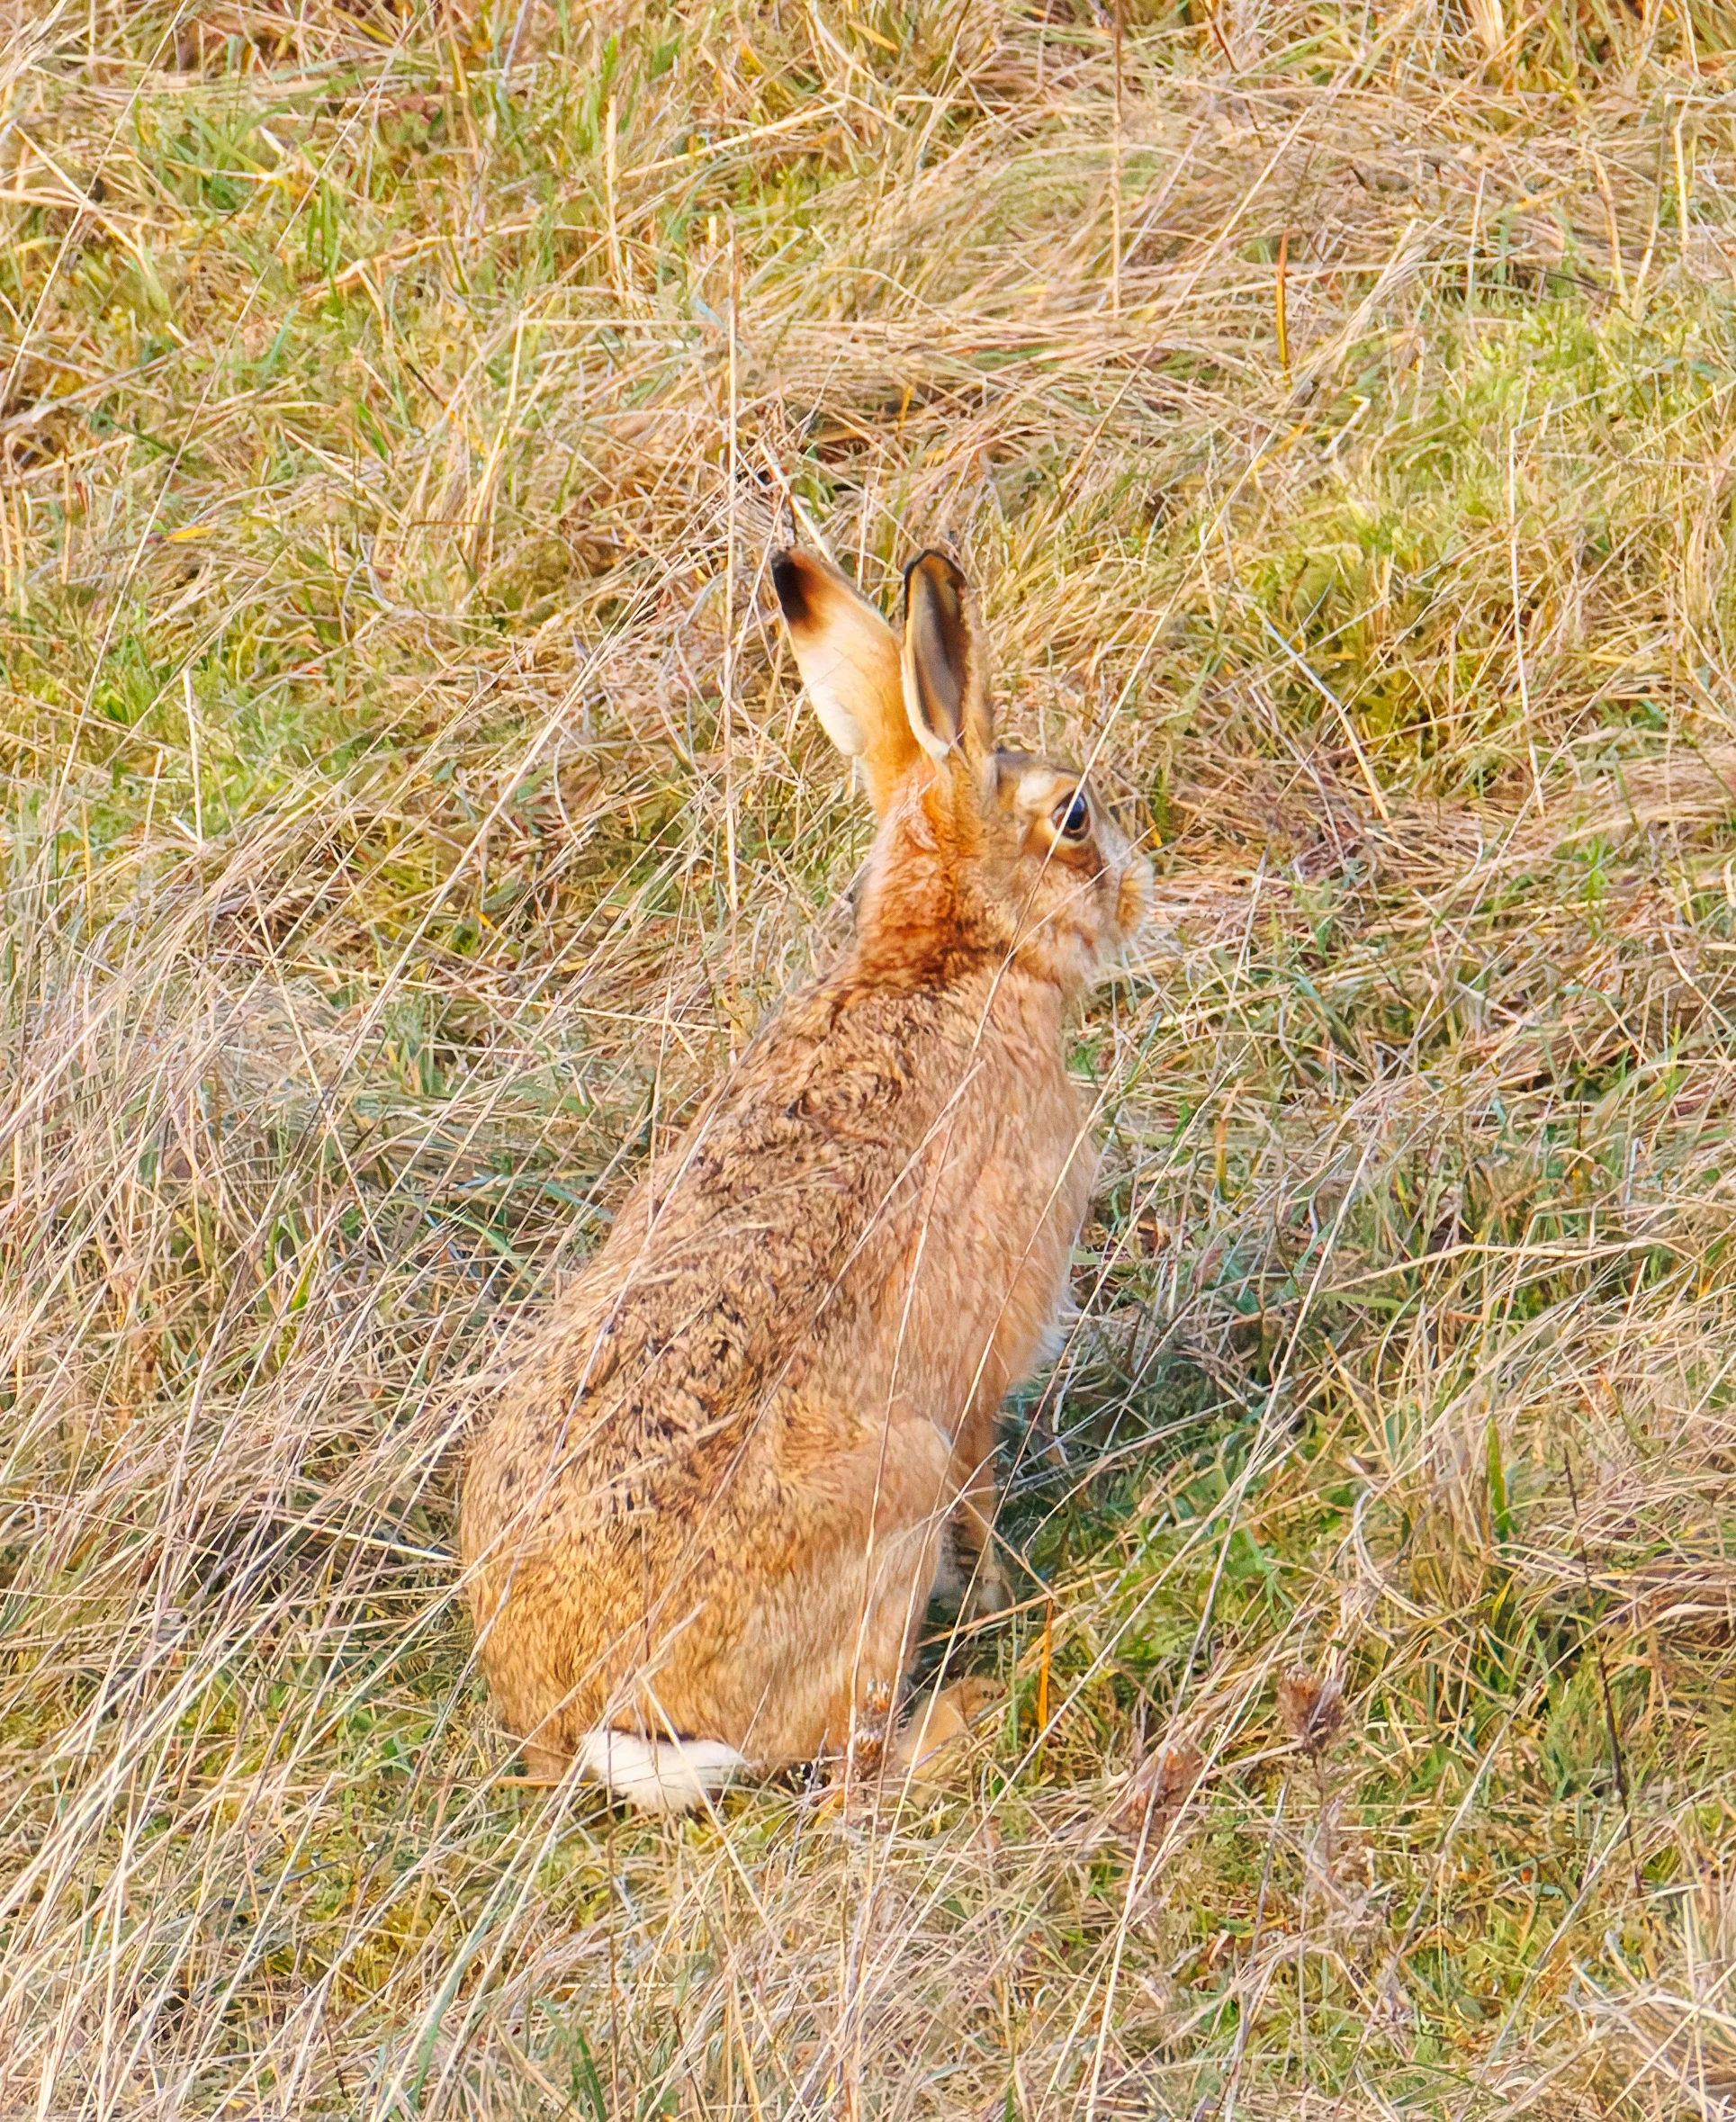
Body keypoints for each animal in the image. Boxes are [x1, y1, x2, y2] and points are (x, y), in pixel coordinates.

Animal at [458, 545, 1151, 1811]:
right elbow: (985, 1490)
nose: (1137, 888)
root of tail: (581, 1725)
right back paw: (973, 1709)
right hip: (890, 1495)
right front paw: (1005, 1598)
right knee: (855, 1759)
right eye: (1074, 816)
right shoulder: (977, 1382)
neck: (944, 960)